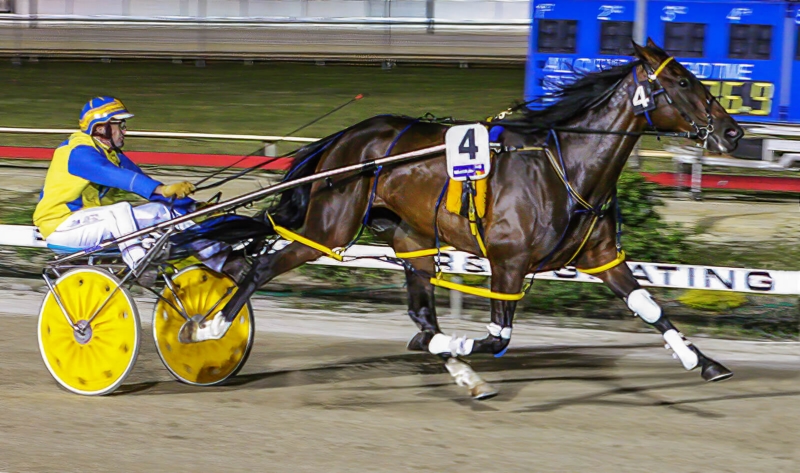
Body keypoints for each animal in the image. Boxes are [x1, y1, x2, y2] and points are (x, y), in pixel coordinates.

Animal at [180, 39, 744, 394]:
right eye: (682, 81)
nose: (732, 131)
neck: (567, 166)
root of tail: (345, 138)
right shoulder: (508, 262)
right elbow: (496, 337)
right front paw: (454, 351)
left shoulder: (601, 256)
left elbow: (650, 309)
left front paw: (705, 362)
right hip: (328, 226)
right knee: (259, 267)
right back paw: (206, 329)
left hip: (411, 238)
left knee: (419, 308)